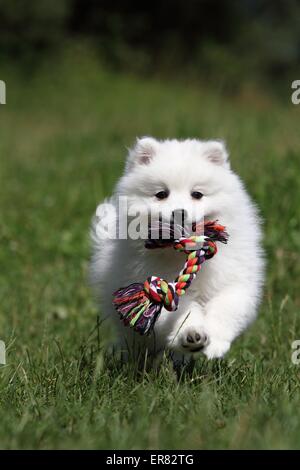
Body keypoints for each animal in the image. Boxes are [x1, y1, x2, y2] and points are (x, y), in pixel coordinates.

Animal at [89, 138, 264, 362]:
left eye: (197, 194)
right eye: (161, 194)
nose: (179, 212)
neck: (181, 254)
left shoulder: (234, 280)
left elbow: (226, 308)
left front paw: (215, 343)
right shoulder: (156, 284)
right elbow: (180, 312)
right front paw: (191, 335)